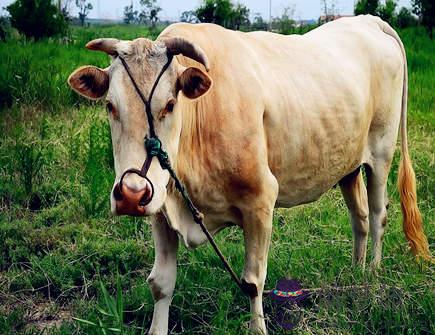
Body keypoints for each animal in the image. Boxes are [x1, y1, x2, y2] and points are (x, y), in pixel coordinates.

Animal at [66, 15, 430, 335]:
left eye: (169, 104)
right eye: (110, 106)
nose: (131, 193)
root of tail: (369, 20)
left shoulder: (260, 201)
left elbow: (253, 282)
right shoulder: (160, 208)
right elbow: (161, 284)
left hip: (381, 154)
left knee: (379, 214)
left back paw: (372, 274)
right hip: (347, 166)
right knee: (360, 218)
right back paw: (354, 272)